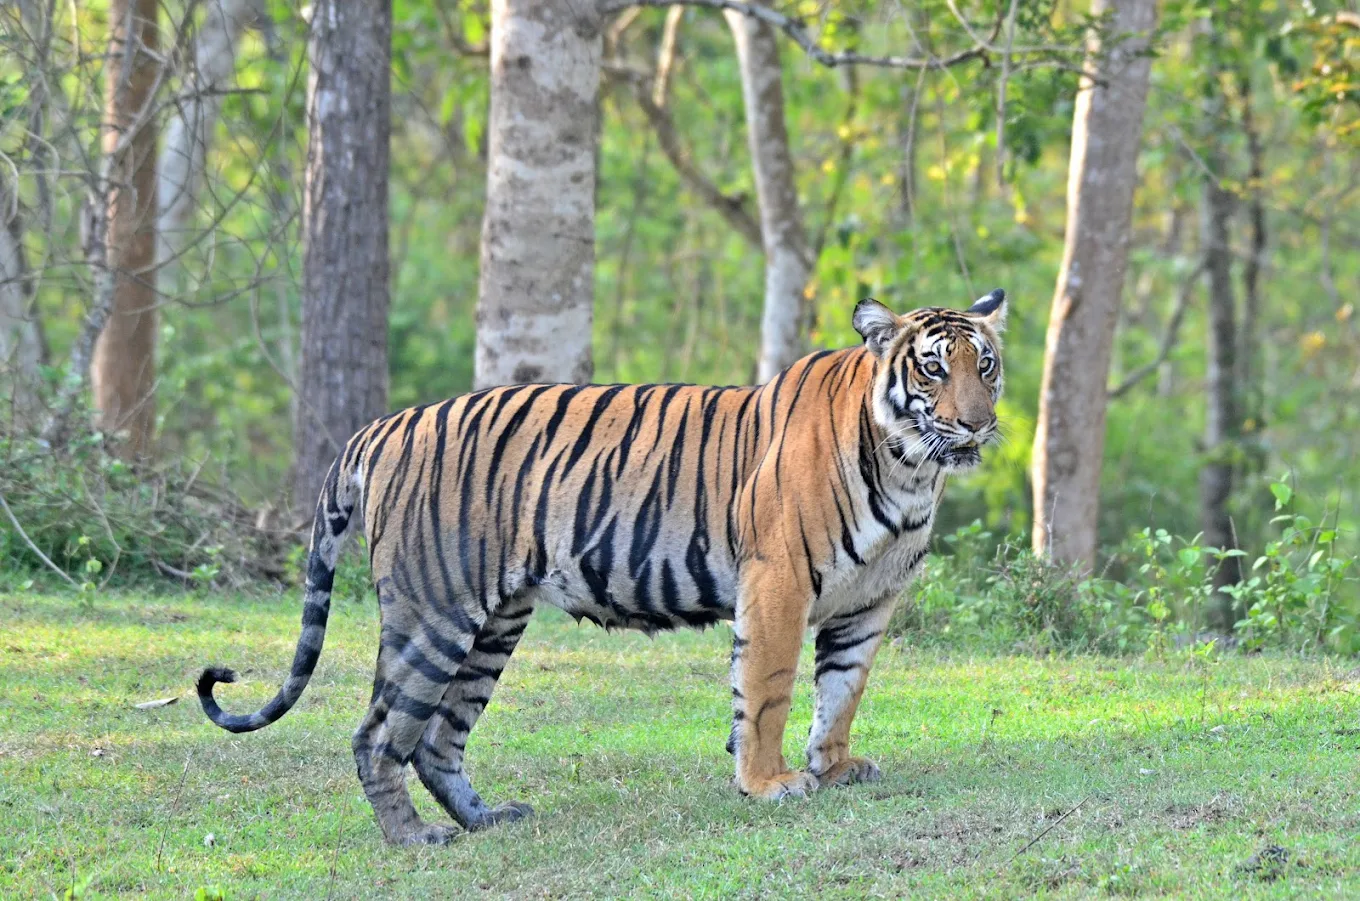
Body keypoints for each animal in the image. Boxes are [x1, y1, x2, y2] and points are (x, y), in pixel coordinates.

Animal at [198, 290, 1008, 846]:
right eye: (933, 369)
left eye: (986, 366)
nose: (976, 424)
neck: (910, 472)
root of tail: (382, 424)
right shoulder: (777, 580)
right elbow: (770, 689)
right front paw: (768, 782)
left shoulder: (869, 601)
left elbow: (841, 692)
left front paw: (834, 768)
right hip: (432, 614)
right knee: (377, 734)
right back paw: (415, 838)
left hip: (494, 624)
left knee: (437, 738)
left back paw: (487, 818)